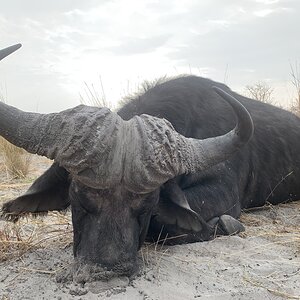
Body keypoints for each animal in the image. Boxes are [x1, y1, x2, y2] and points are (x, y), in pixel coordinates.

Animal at [0, 44, 300, 278]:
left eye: (149, 202)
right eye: (78, 195)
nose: (108, 269)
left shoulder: (224, 192)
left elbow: (166, 224)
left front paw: (226, 225)